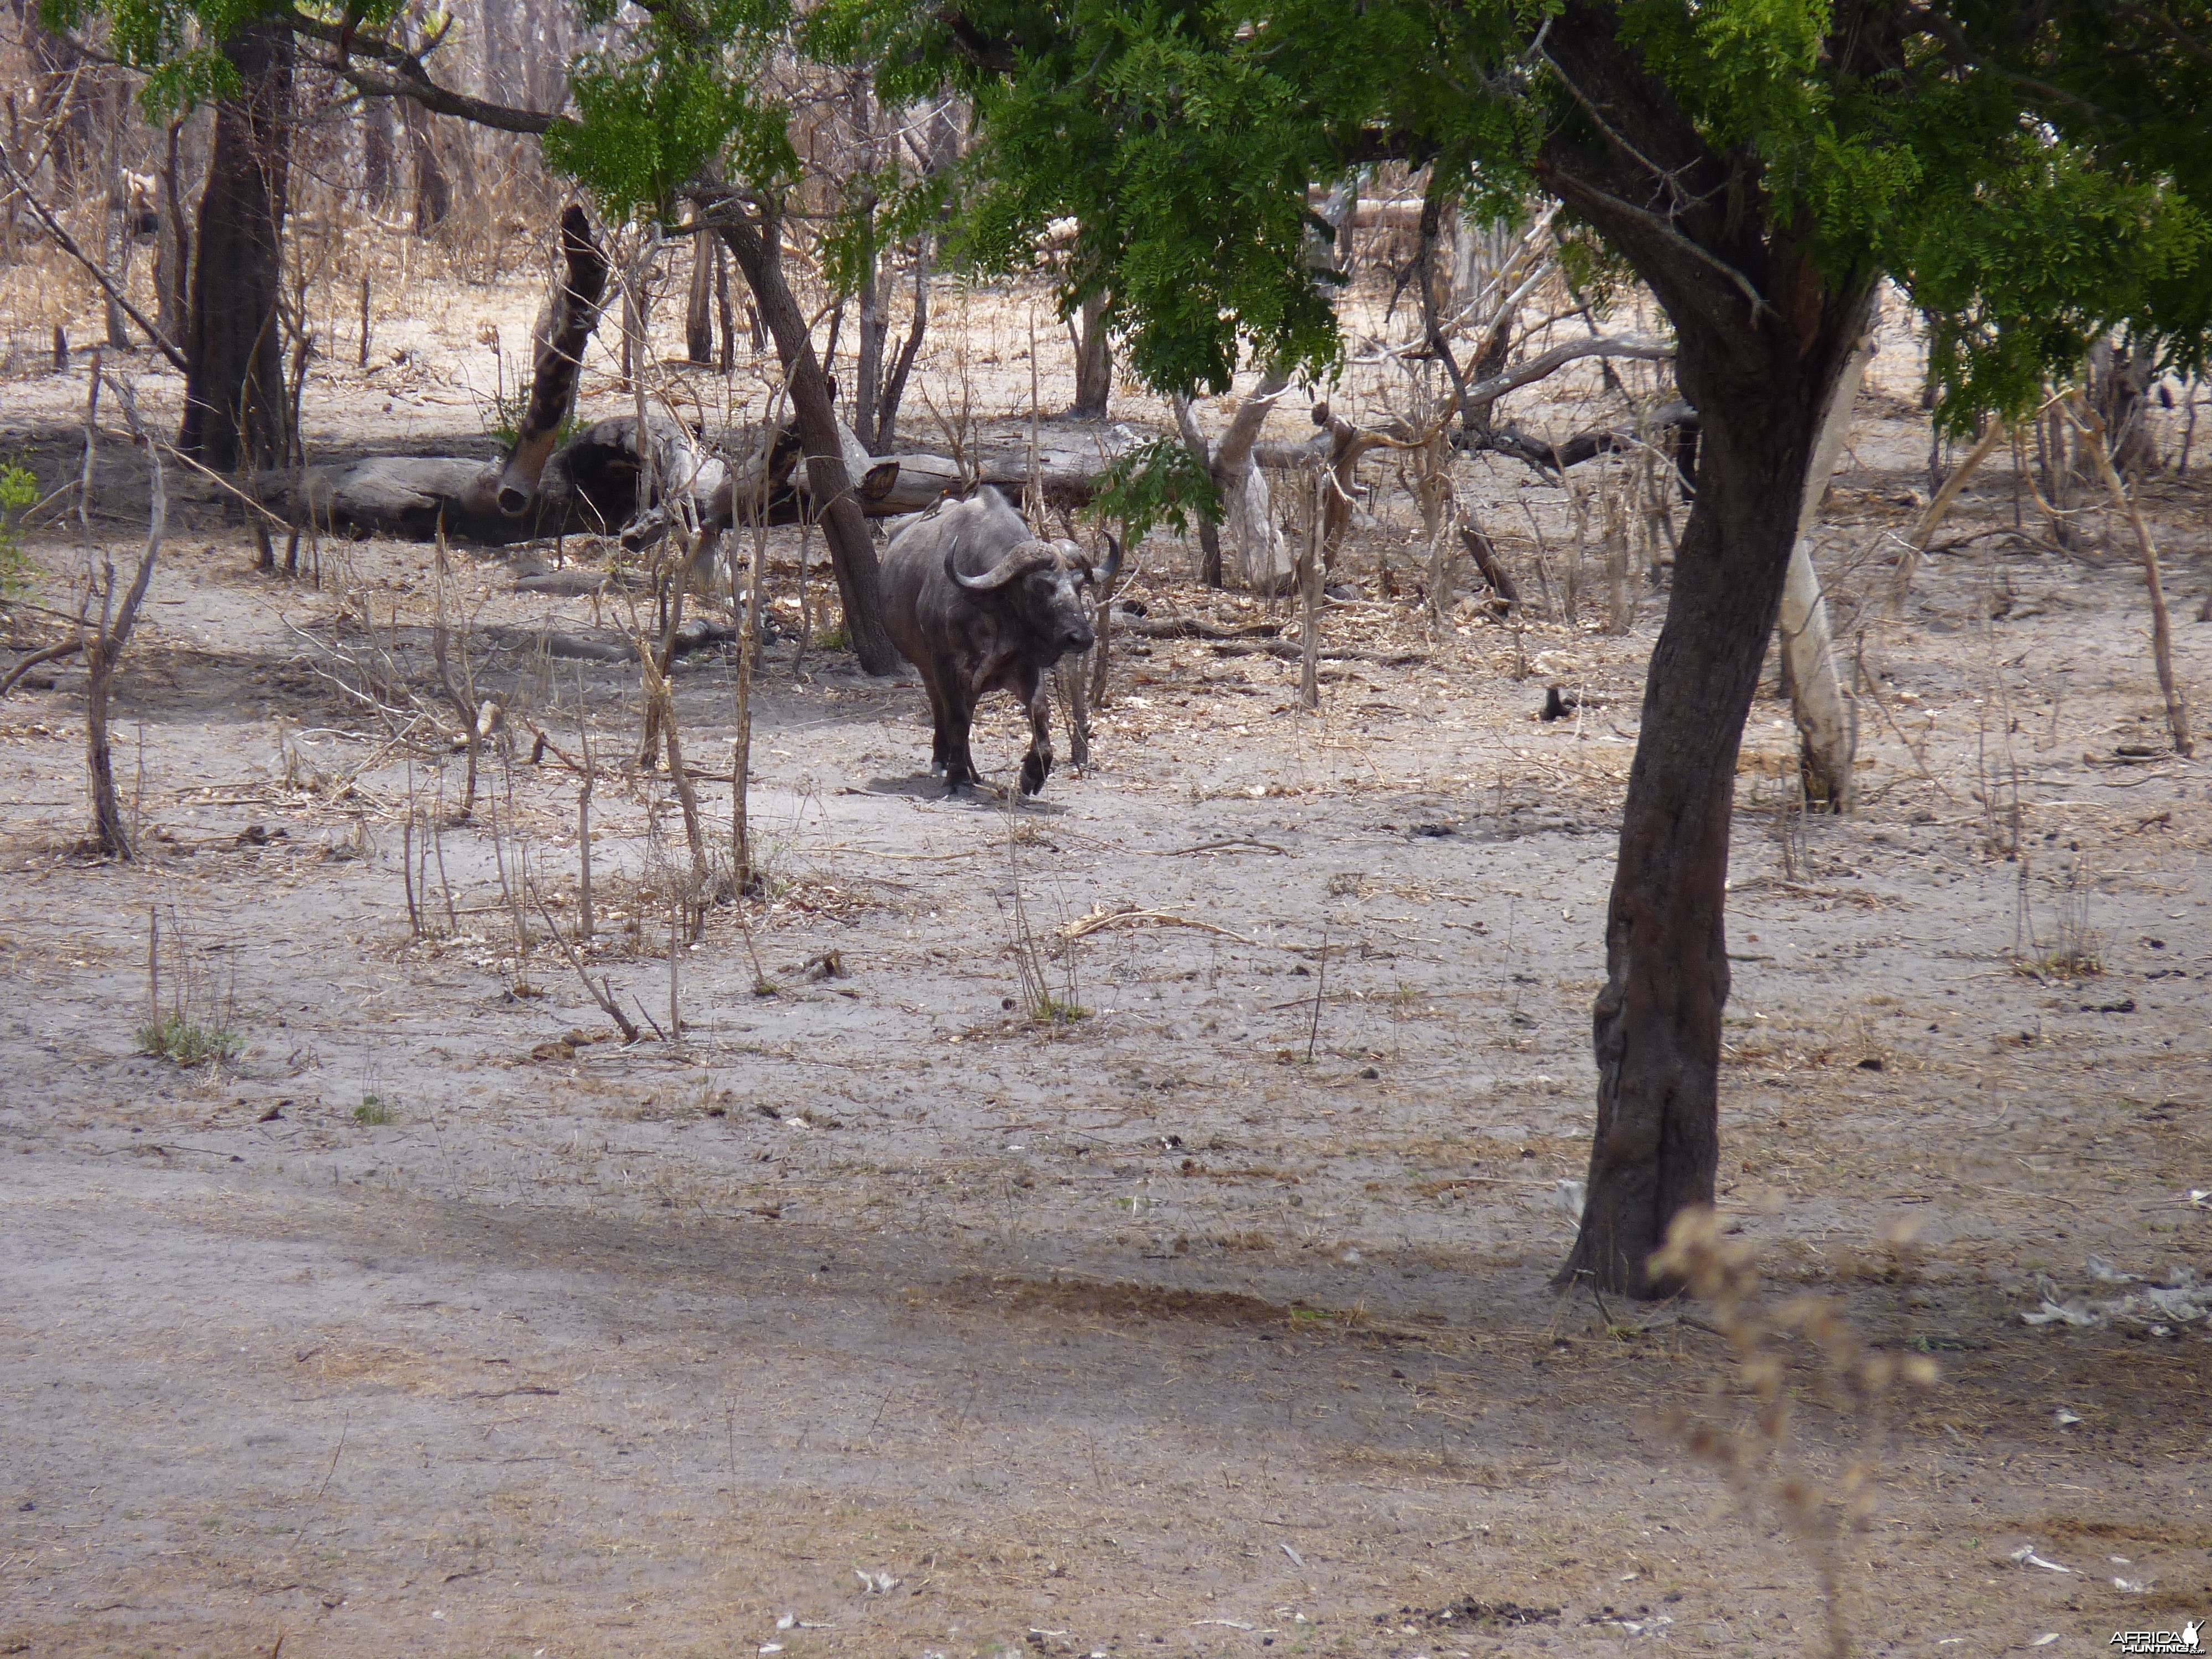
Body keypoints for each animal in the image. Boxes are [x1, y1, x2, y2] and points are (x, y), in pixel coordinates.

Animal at [880, 487, 1124, 801]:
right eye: (1040, 586)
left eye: (1080, 585)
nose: (1081, 637)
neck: (992, 614)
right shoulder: (944, 664)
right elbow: (956, 719)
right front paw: (957, 776)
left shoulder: (1025, 666)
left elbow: (1040, 712)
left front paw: (1033, 774)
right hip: (926, 668)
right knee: (942, 709)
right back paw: (946, 762)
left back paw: (973, 772)